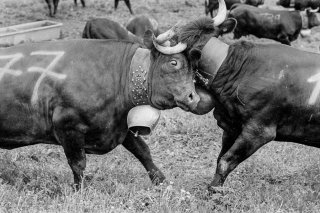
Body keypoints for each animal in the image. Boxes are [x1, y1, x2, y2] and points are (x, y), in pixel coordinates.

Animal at [155, 0, 320, 194]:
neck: (238, 69)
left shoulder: (259, 131)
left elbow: (225, 161)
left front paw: (214, 192)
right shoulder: (231, 126)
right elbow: (219, 158)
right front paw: (214, 188)